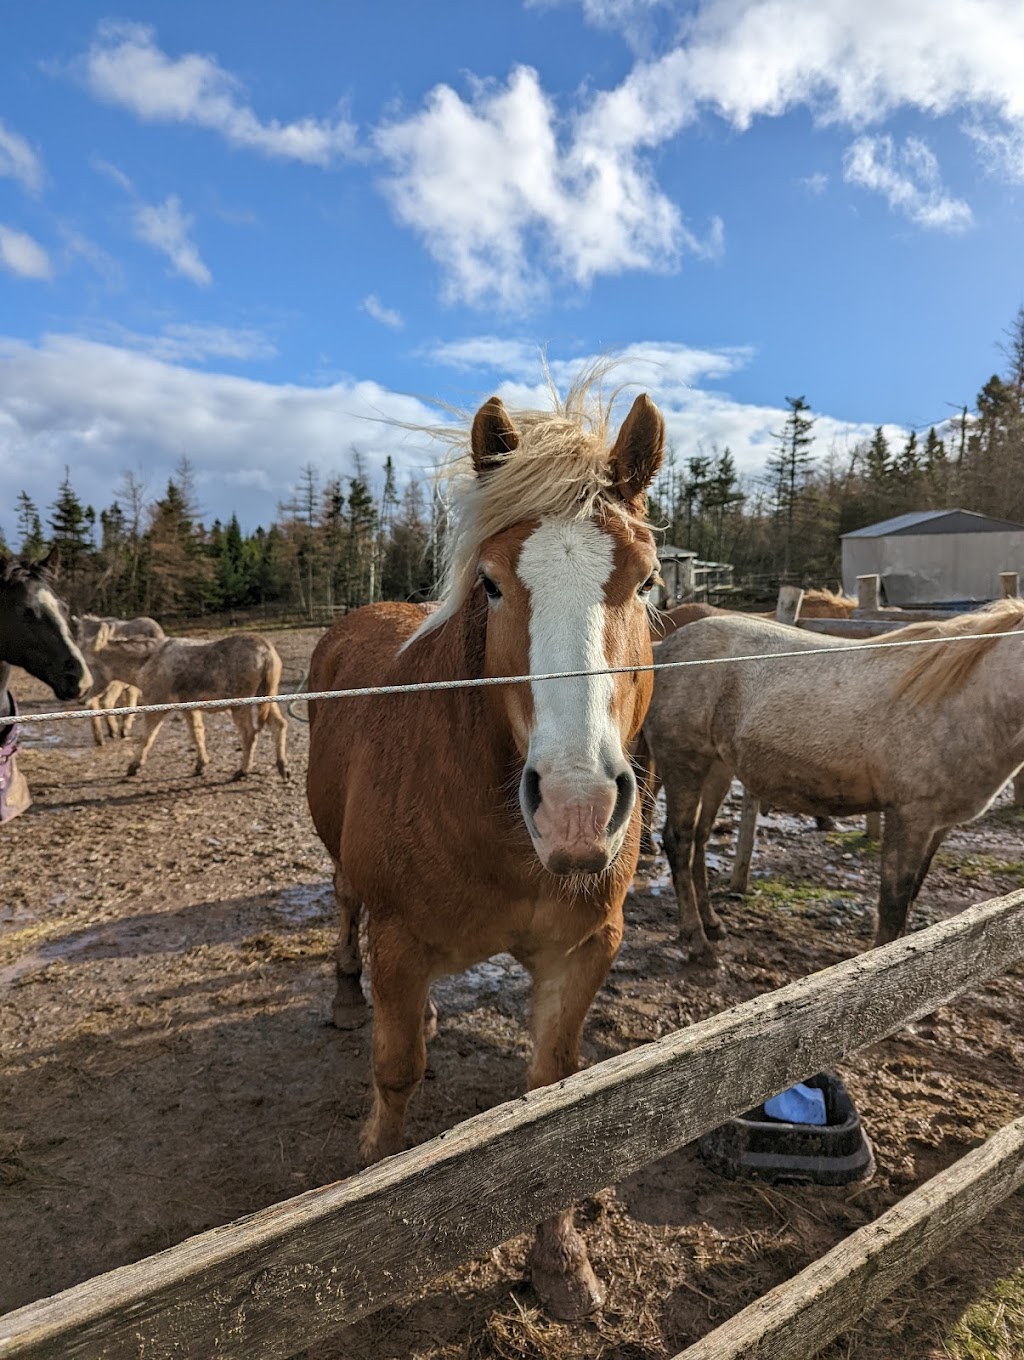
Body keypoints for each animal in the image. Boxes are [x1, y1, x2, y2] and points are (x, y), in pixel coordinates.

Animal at [303, 383, 663, 1316]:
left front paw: (560, 1261)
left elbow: (549, 1090)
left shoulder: (583, 949)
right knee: (345, 908)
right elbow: (396, 1071)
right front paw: (372, 1180)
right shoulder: (398, 939)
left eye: (647, 580)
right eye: (494, 585)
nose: (577, 808)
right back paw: (348, 993)